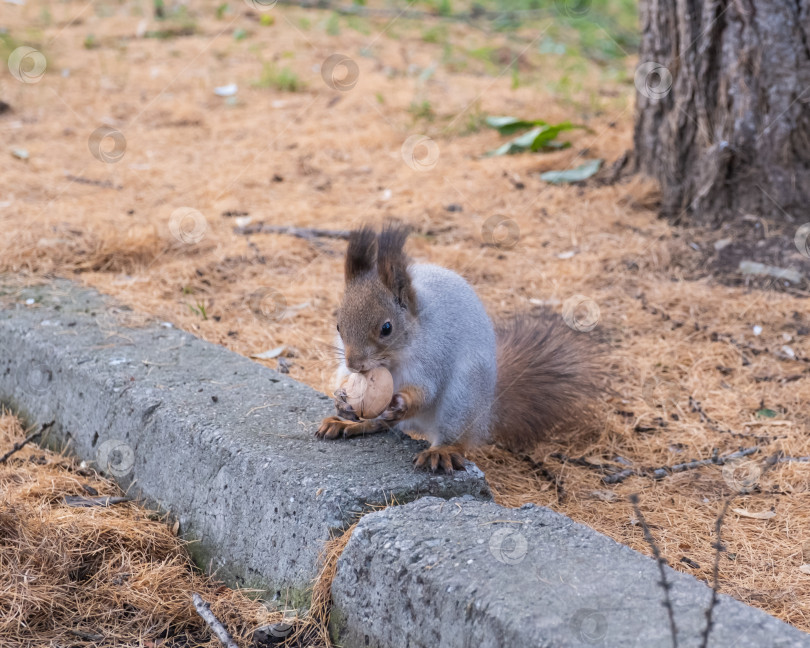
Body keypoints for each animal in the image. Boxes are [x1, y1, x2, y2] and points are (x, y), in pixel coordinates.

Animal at [316, 225, 600, 474]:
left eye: (387, 328)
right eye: (338, 325)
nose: (355, 364)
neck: (391, 362)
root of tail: (487, 411)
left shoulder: (434, 356)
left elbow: (425, 392)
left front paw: (400, 401)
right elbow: (342, 379)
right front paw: (341, 400)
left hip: (463, 396)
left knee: (455, 437)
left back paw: (441, 451)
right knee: (383, 424)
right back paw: (348, 423)